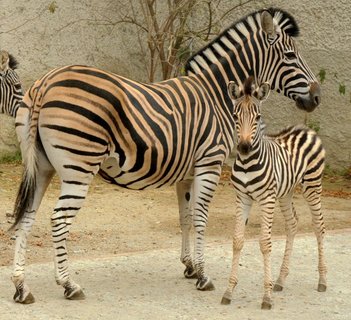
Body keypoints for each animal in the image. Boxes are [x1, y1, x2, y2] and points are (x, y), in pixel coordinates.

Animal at [223, 76, 328, 308]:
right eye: (235, 116)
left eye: (258, 117)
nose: (244, 148)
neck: (247, 163)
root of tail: (305, 128)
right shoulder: (242, 198)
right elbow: (237, 241)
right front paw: (229, 291)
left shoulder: (266, 199)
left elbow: (265, 243)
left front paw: (267, 296)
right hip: (286, 192)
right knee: (293, 223)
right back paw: (280, 279)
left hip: (312, 186)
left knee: (319, 227)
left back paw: (322, 280)